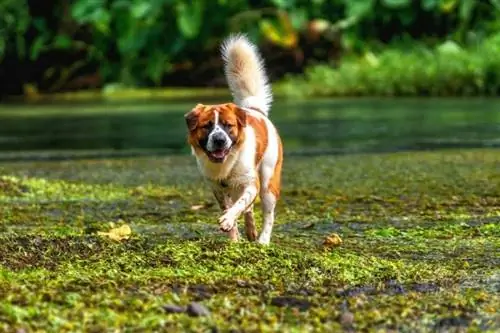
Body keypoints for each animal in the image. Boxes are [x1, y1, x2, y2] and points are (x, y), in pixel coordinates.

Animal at [184, 33, 284, 244]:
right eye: (207, 126)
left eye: (228, 125)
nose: (219, 140)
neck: (226, 164)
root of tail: (255, 110)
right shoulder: (217, 189)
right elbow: (231, 207)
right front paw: (233, 238)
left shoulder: (251, 184)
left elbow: (239, 205)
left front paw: (228, 220)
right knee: (249, 210)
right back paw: (250, 231)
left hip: (268, 183)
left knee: (268, 214)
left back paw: (263, 240)